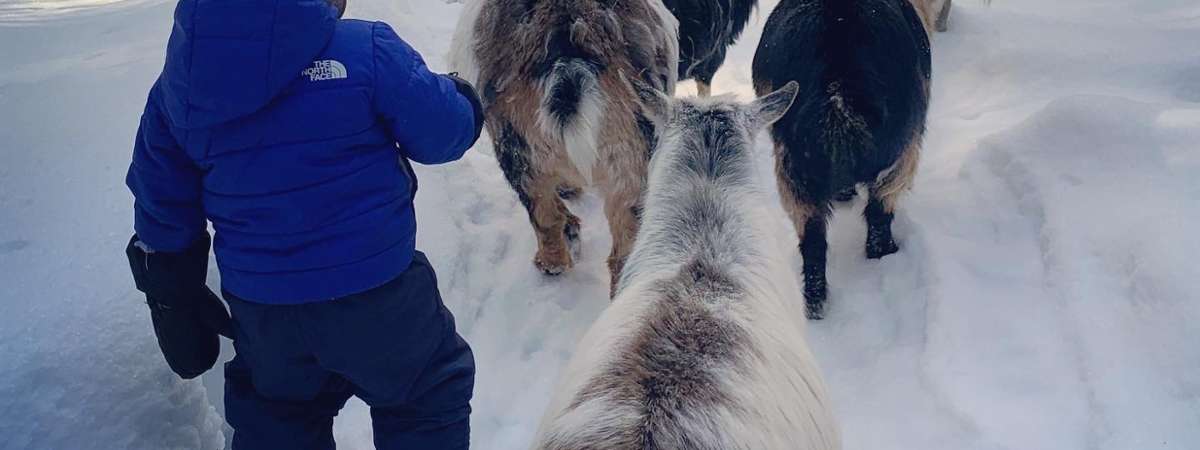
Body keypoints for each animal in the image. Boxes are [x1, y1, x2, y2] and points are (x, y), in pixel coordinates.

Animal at [753, 0, 931, 319]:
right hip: (902, 157)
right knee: (878, 214)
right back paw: (883, 254)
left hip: (795, 172)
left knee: (812, 242)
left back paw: (813, 303)